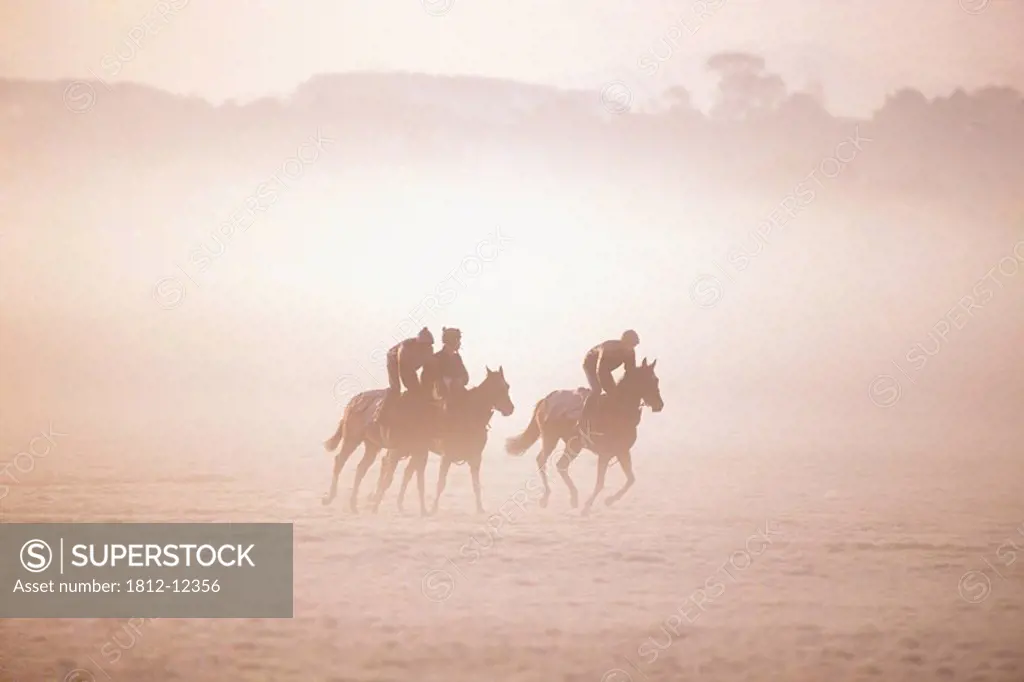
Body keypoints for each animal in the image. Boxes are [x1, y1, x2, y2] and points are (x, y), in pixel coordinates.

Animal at [370, 364, 516, 512]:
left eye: (507, 386)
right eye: (497, 388)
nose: (510, 409)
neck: (469, 415)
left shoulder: (475, 457)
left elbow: (476, 485)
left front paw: (480, 508)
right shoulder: (447, 456)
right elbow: (441, 483)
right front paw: (433, 509)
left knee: (405, 472)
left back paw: (396, 504)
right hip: (402, 449)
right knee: (388, 466)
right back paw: (376, 501)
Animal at [503, 358, 663, 512]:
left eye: (656, 379)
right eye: (649, 380)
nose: (659, 405)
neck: (617, 408)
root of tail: (546, 400)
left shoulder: (622, 451)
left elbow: (631, 479)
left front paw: (609, 500)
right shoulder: (605, 454)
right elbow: (600, 482)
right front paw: (588, 506)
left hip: (573, 445)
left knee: (561, 465)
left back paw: (573, 498)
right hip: (552, 439)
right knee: (542, 460)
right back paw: (547, 498)